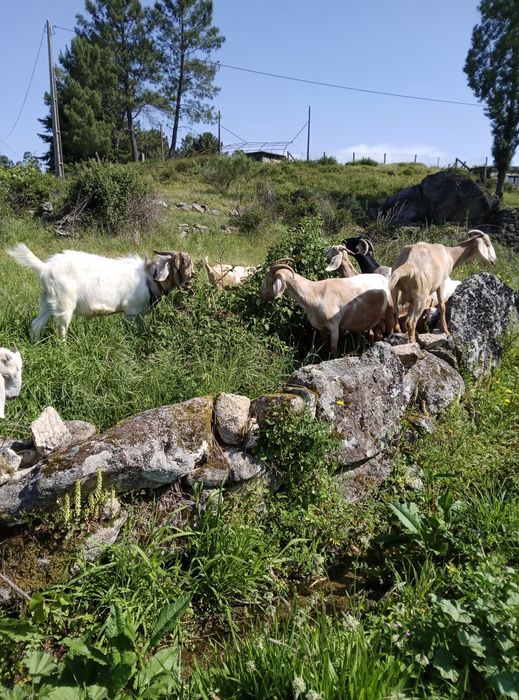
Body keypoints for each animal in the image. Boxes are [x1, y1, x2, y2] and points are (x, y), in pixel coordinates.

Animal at [7, 244, 193, 341]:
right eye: (178, 265)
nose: (189, 284)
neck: (149, 278)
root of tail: (45, 268)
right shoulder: (131, 311)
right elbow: (129, 330)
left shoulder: (139, 314)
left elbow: (143, 329)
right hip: (64, 303)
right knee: (61, 330)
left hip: (48, 301)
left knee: (36, 325)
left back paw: (35, 343)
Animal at [260, 263, 393, 357]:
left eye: (267, 279)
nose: (262, 295)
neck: (315, 293)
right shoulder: (321, 328)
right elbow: (321, 345)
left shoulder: (334, 326)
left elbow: (333, 350)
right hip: (375, 321)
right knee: (376, 335)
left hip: (390, 315)